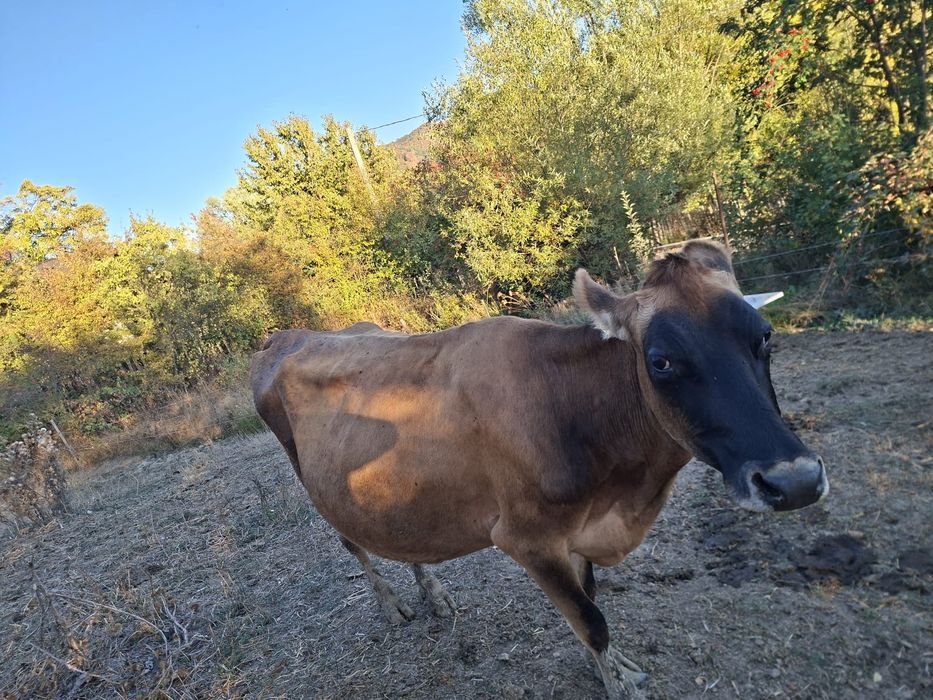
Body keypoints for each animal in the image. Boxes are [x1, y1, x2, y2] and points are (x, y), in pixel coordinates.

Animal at [250, 240, 828, 698]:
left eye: (765, 336)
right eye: (661, 359)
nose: (794, 480)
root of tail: (288, 336)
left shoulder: (582, 526)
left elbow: (589, 600)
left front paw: (609, 670)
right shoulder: (525, 537)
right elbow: (592, 621)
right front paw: (618, 683)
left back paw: (433, 595)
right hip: (312, 479)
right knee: (354, 543)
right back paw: (393, 606)